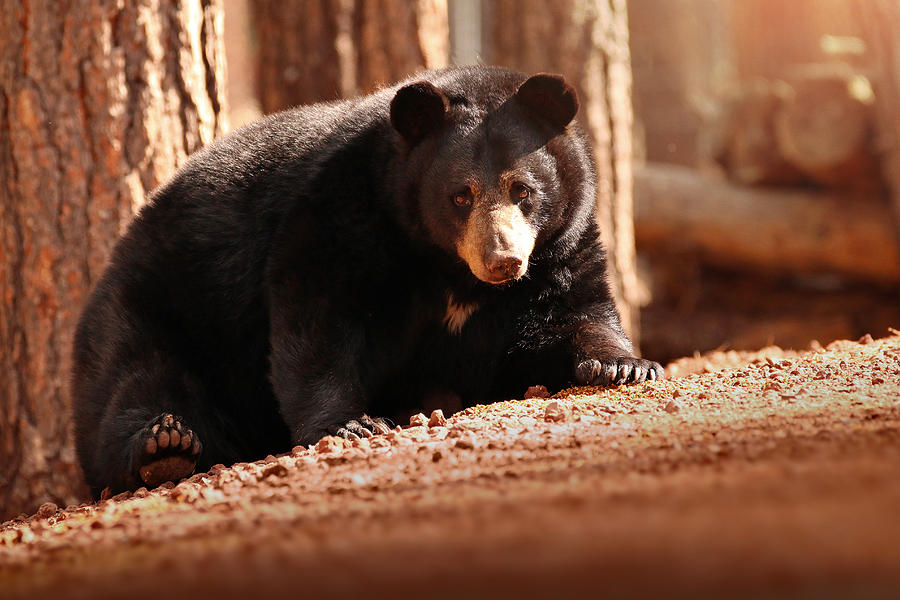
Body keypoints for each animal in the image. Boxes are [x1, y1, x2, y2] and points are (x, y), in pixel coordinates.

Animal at [72, 65, 660, 496]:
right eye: (460, 196)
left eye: (524, 191)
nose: (503, 261)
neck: (449, 270)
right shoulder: (342, 220)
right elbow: (319, 322)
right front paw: (352, 425)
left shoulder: (563, 244)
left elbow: (575, 310)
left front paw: (623, 366)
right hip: (159, 299)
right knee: (135, 375)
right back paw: (165, 446)